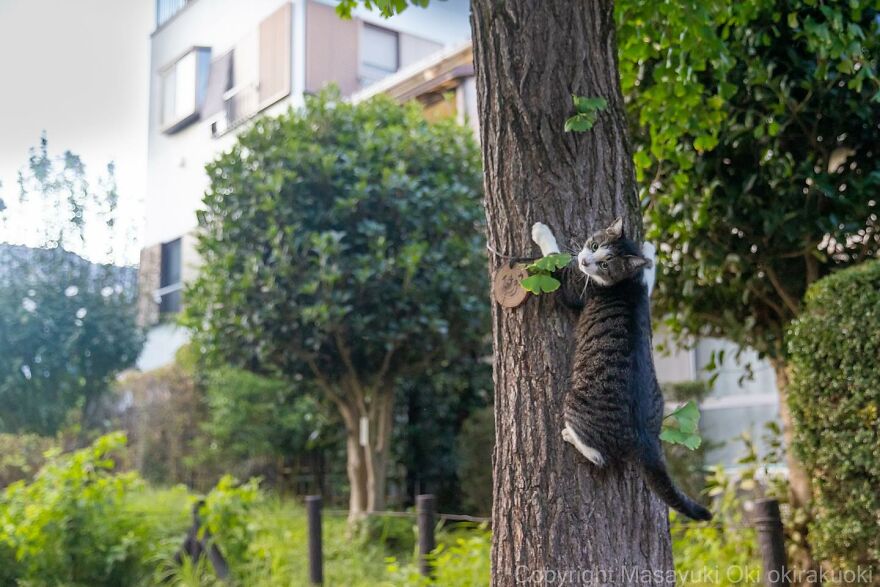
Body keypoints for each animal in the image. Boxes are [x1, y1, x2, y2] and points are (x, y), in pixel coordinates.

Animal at [528, 218, 716, 520]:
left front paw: (541, 231)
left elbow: (555, 264)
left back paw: (571, 436)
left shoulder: (576, 288)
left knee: (599, 457)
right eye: (594, 245)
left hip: (574, 401)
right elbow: (649, 274)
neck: (626, 283)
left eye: (605, 264)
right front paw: (650, 249)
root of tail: (644, 440)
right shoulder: (644, 289)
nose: (584, 260)